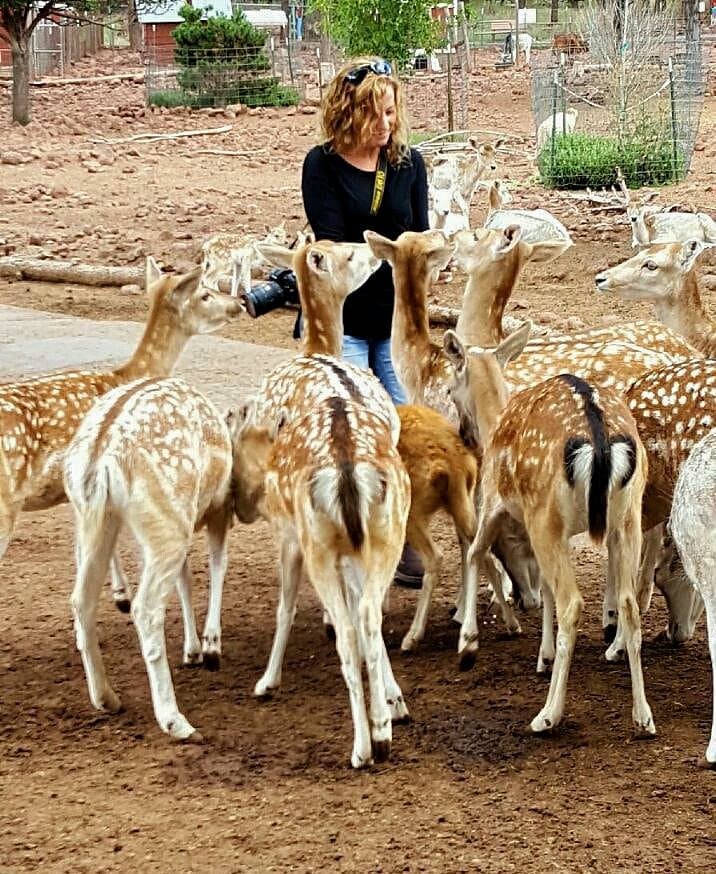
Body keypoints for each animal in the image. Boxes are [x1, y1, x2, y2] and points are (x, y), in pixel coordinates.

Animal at [64, 377, 237, 741]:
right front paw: (210, 648)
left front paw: (193, 650)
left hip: (94, 518)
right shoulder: (219, 507)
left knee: (81, 599)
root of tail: (101, 456)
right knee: (146, 608)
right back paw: (176, 721)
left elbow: (186, 579)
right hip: (166, 521)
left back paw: (106, 698)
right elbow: (218, 563)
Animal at [229, 395, 411, 769]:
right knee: (369, 615)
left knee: (347, 633)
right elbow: (362, 613)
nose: (237, 505)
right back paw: (382, 733)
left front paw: (267, 682)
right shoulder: (354, 556)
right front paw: (395, 703)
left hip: (317, 547)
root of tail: (346, 467)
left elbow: (285, 608)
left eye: (234, 439)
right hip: (387, 536)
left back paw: (362, 749)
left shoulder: (288, 536)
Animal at [443, 323, 656, 739]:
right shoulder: (557, 529)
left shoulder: (497, 501)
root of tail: (600, 440)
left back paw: (547, 715)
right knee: (628, 602)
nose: (462, 432)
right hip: (626, 519)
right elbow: (542, 584)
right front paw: (542, 657)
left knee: (572, 602)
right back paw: (643, 717)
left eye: (449, 387)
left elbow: (477, 552)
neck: (495, 421)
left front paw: (468, 646)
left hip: (546, 515)